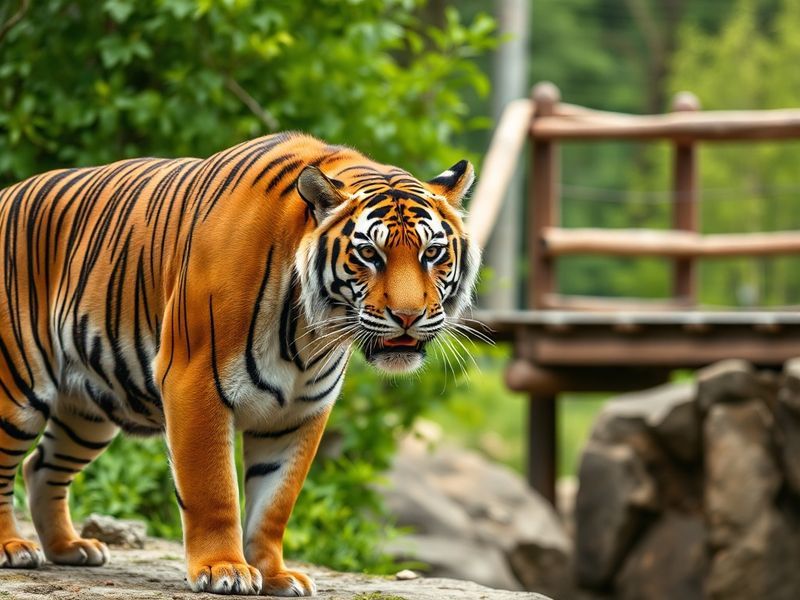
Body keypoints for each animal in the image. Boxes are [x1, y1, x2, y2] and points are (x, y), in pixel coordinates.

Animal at [0, 132, 480, 596]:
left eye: (432, 254)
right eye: (369, 255)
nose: (407, 316)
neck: (305, 333)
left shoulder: (299, 411)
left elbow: (275, 502)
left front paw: (276, 575)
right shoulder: (193, 382)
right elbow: (213, 489)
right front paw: (223, 570)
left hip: (90, 411)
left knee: (40, 466)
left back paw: (70, 548)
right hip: (17, 390)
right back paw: (13, 548)